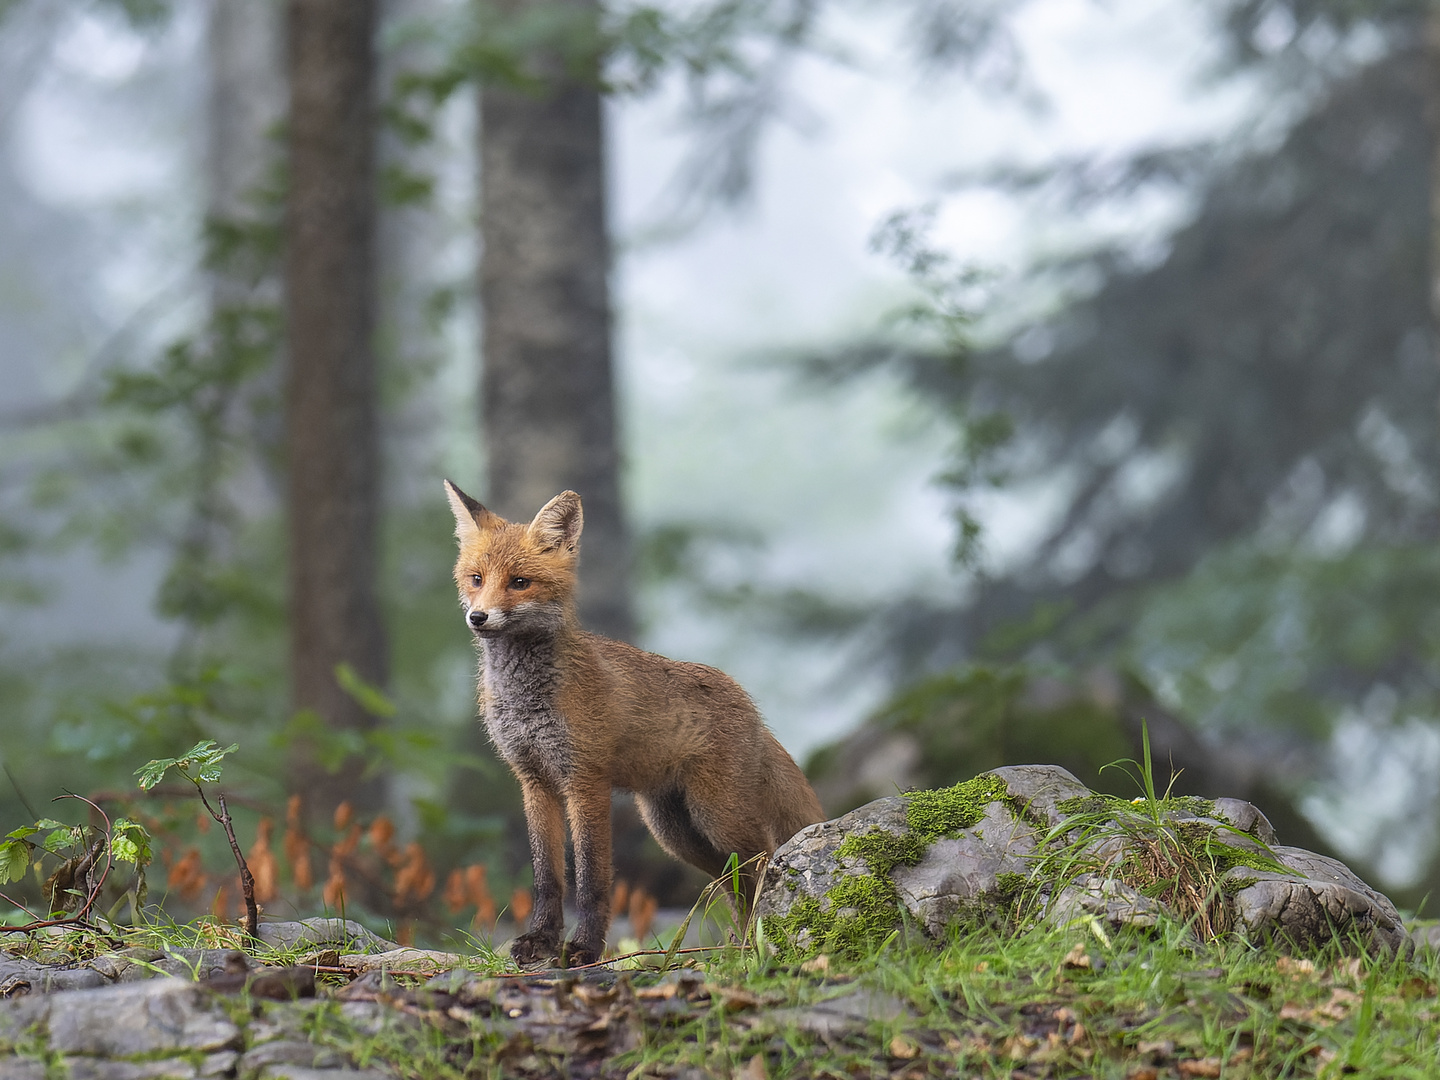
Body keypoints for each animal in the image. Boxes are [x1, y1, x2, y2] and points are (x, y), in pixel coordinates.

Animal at [443, 486, 823, 967]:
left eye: (519, 583)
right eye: (476, 578)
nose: (478, 617)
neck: (527, 699)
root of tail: (749, 703)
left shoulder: (586, 780)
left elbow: (591, 880)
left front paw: (585, 949)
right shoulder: (534, 781)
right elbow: (547, 878)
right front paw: (540, 941)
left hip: (718, 818)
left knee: (765, 861)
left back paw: (757, 942)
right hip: (678, 834)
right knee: (735, 883)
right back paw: (741, 947)